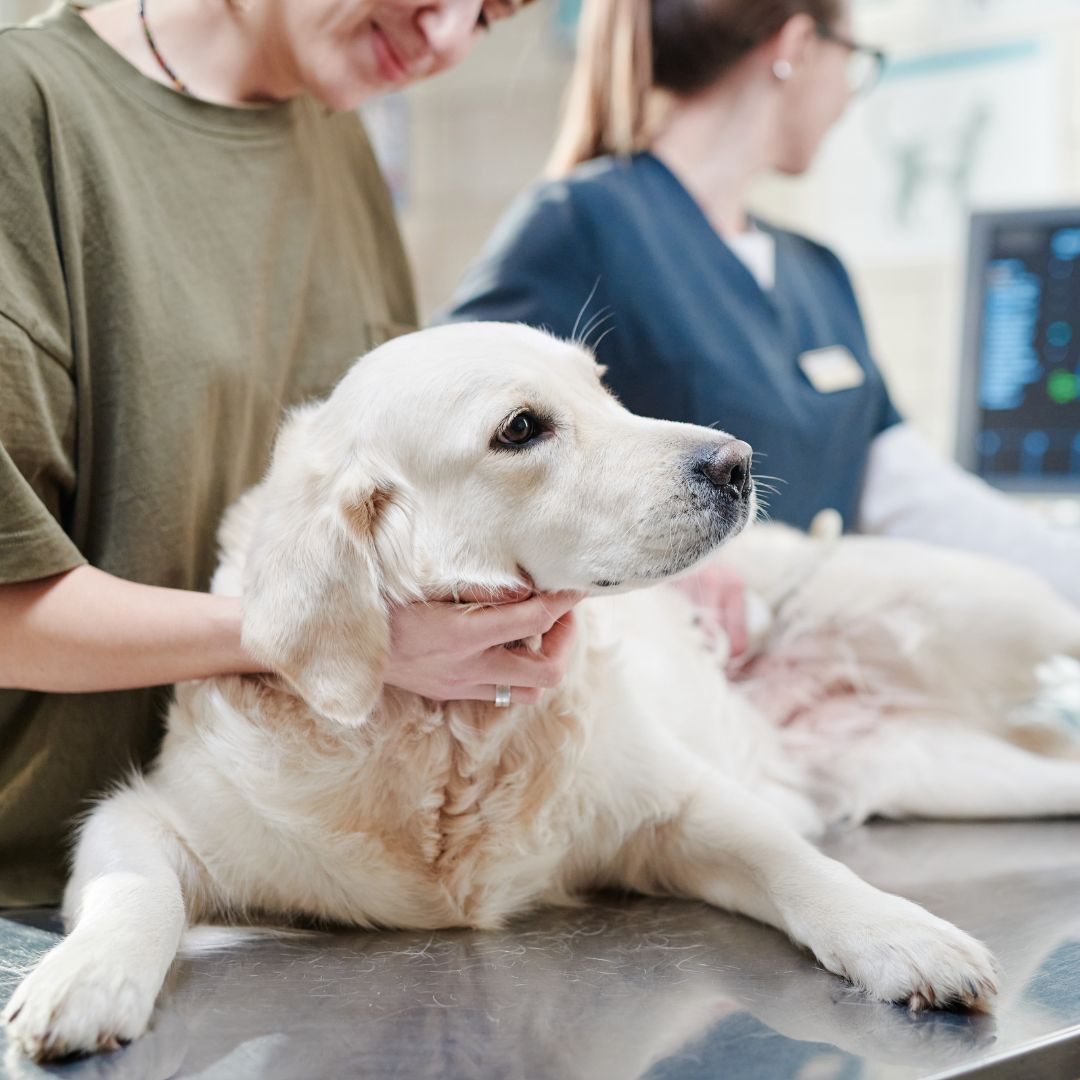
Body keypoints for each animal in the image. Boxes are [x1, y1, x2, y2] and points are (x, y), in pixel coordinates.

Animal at [4, 319, 1075, 1062]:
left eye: (604, 391)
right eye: (521, 429)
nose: (735, 462)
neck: (450, 734)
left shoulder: (681, 805)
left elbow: (805, 870)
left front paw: (904, 936)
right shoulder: (145, 817)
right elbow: (136, 892)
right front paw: (86, 980)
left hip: (990, 613)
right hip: (960, 772)